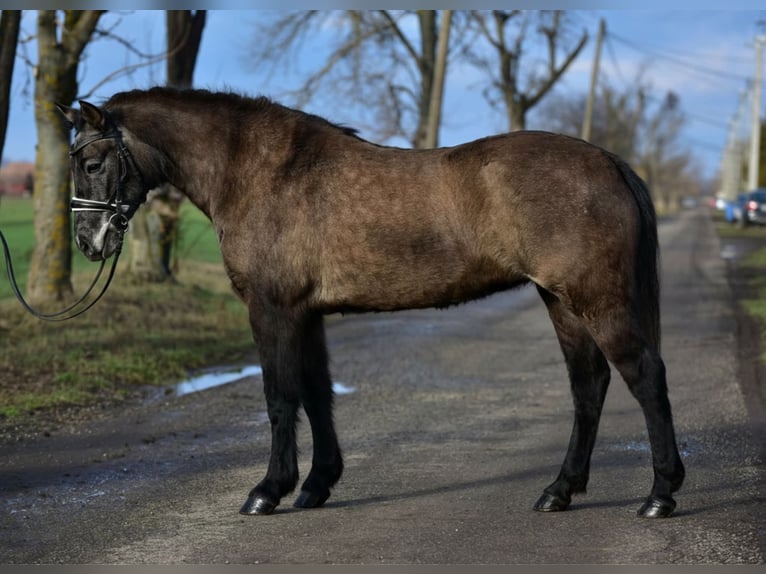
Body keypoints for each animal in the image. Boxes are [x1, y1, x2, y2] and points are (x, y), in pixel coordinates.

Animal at [57, 87, 685, 519]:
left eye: (92, 164)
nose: (89, 243)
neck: (258, 172)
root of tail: (609, 163)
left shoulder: (272, 309)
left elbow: (280, 397)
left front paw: (268, 491)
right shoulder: (306, 315)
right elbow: (317, 395)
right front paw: (315, 485)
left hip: (596, 300)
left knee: (645, 377)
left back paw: (660, 494)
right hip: (561, 302)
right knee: (589, 386)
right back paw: (560, 490)